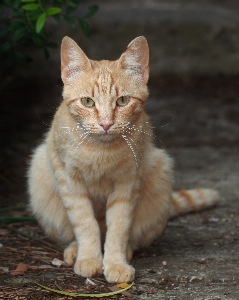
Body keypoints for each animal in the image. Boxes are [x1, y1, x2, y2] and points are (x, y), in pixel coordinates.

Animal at [28, 35, 218, 284]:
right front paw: (89, 258)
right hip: (39, 170)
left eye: (123, 101)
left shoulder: (128, 184)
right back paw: (75, 250)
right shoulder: (68, 179)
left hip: (160, 171)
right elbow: (85, 223)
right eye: (87, 102)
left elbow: (119, 227)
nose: (106, 124)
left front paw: (115, 263)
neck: (100, 149)